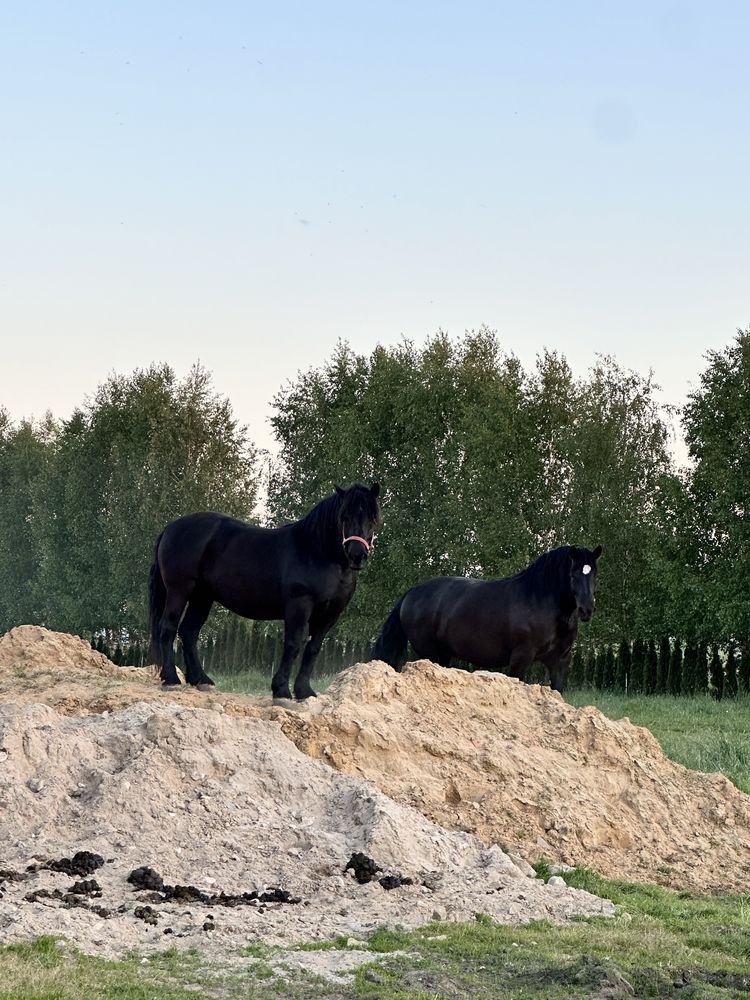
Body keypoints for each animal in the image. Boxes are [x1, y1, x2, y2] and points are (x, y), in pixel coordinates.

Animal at [148, 480, 382, 700]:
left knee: (189, 632)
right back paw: (171, 678)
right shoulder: (299, 606)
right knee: (168, 628)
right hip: (179, 590)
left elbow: (313, 648)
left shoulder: (330, 614)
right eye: (344, 516)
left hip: (202, 597)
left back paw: (201, 680)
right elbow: (293, 645)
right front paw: (281, 690)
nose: (357, 555)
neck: (317, 552)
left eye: (373, 519)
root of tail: (171, 527)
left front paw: (304, 691)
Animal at [376, 544, 604, 692]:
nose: (586, 610)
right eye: (573, 574)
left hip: (443, 655)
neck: (540, 599)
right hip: (429, 653)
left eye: (594, 574)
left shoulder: (560, 661)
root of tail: (411, 592)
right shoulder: (521, 658)